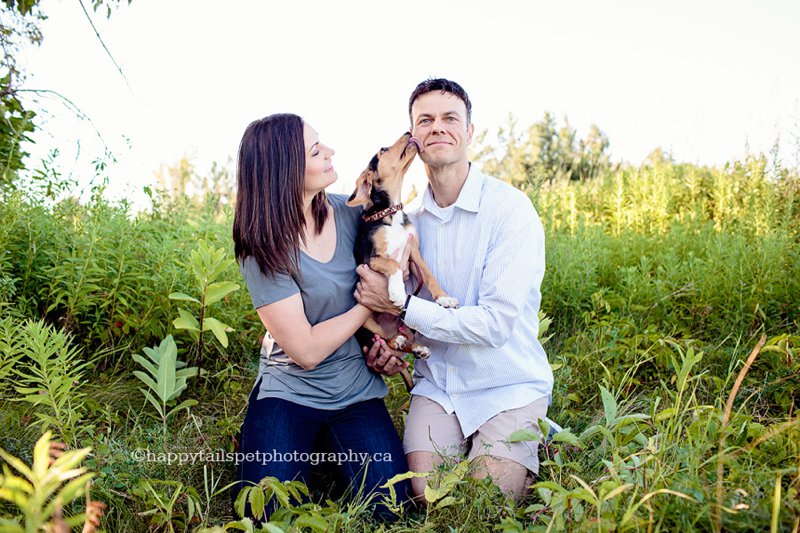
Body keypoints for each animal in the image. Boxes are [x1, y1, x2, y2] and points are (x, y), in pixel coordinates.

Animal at [346, 129, 456, 386]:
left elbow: (429, 276)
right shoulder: (370, 259)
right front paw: (396, 291)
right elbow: (393, 262)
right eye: (383, 150)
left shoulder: (414, 251)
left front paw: (444, 299)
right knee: (384, 342)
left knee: (400, 343)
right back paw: (397, 341)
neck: (390, 212)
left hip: (406, 324)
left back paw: (417, 348)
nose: (408, 132)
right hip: (366, 325)